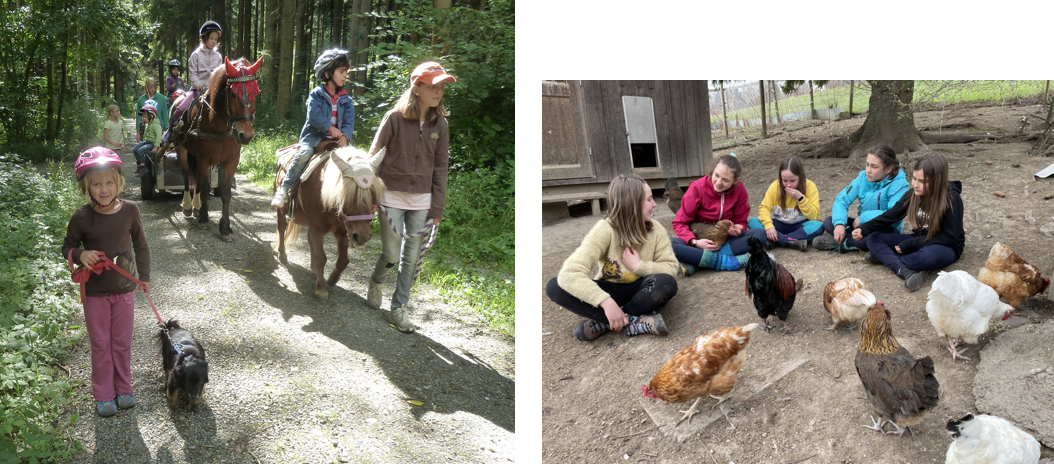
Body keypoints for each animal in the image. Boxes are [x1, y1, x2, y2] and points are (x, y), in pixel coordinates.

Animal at [173, 56, 262, 241]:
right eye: (234, 94)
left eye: (255, 93)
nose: (246, 135)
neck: (217, 123)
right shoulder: (204, 159)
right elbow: (205, 187)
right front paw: (204, 219)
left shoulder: (231, 160)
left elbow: (225, 192)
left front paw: (225, 227)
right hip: (182, 149)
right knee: (186, 176)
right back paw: (188, 206)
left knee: (196, 179)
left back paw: (196, 206)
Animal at [274, 143, 385, 299]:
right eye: (348, 195)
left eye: (373, 193)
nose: (362, 237)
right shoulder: (318, 229)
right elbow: (321, 258)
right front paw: (321, 289)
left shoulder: (343, 231)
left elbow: (343, 261)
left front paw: (332, 279)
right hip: (282, 211)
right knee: (282, 229)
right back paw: (283, 255)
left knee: (309, 239)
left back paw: (313, 268)